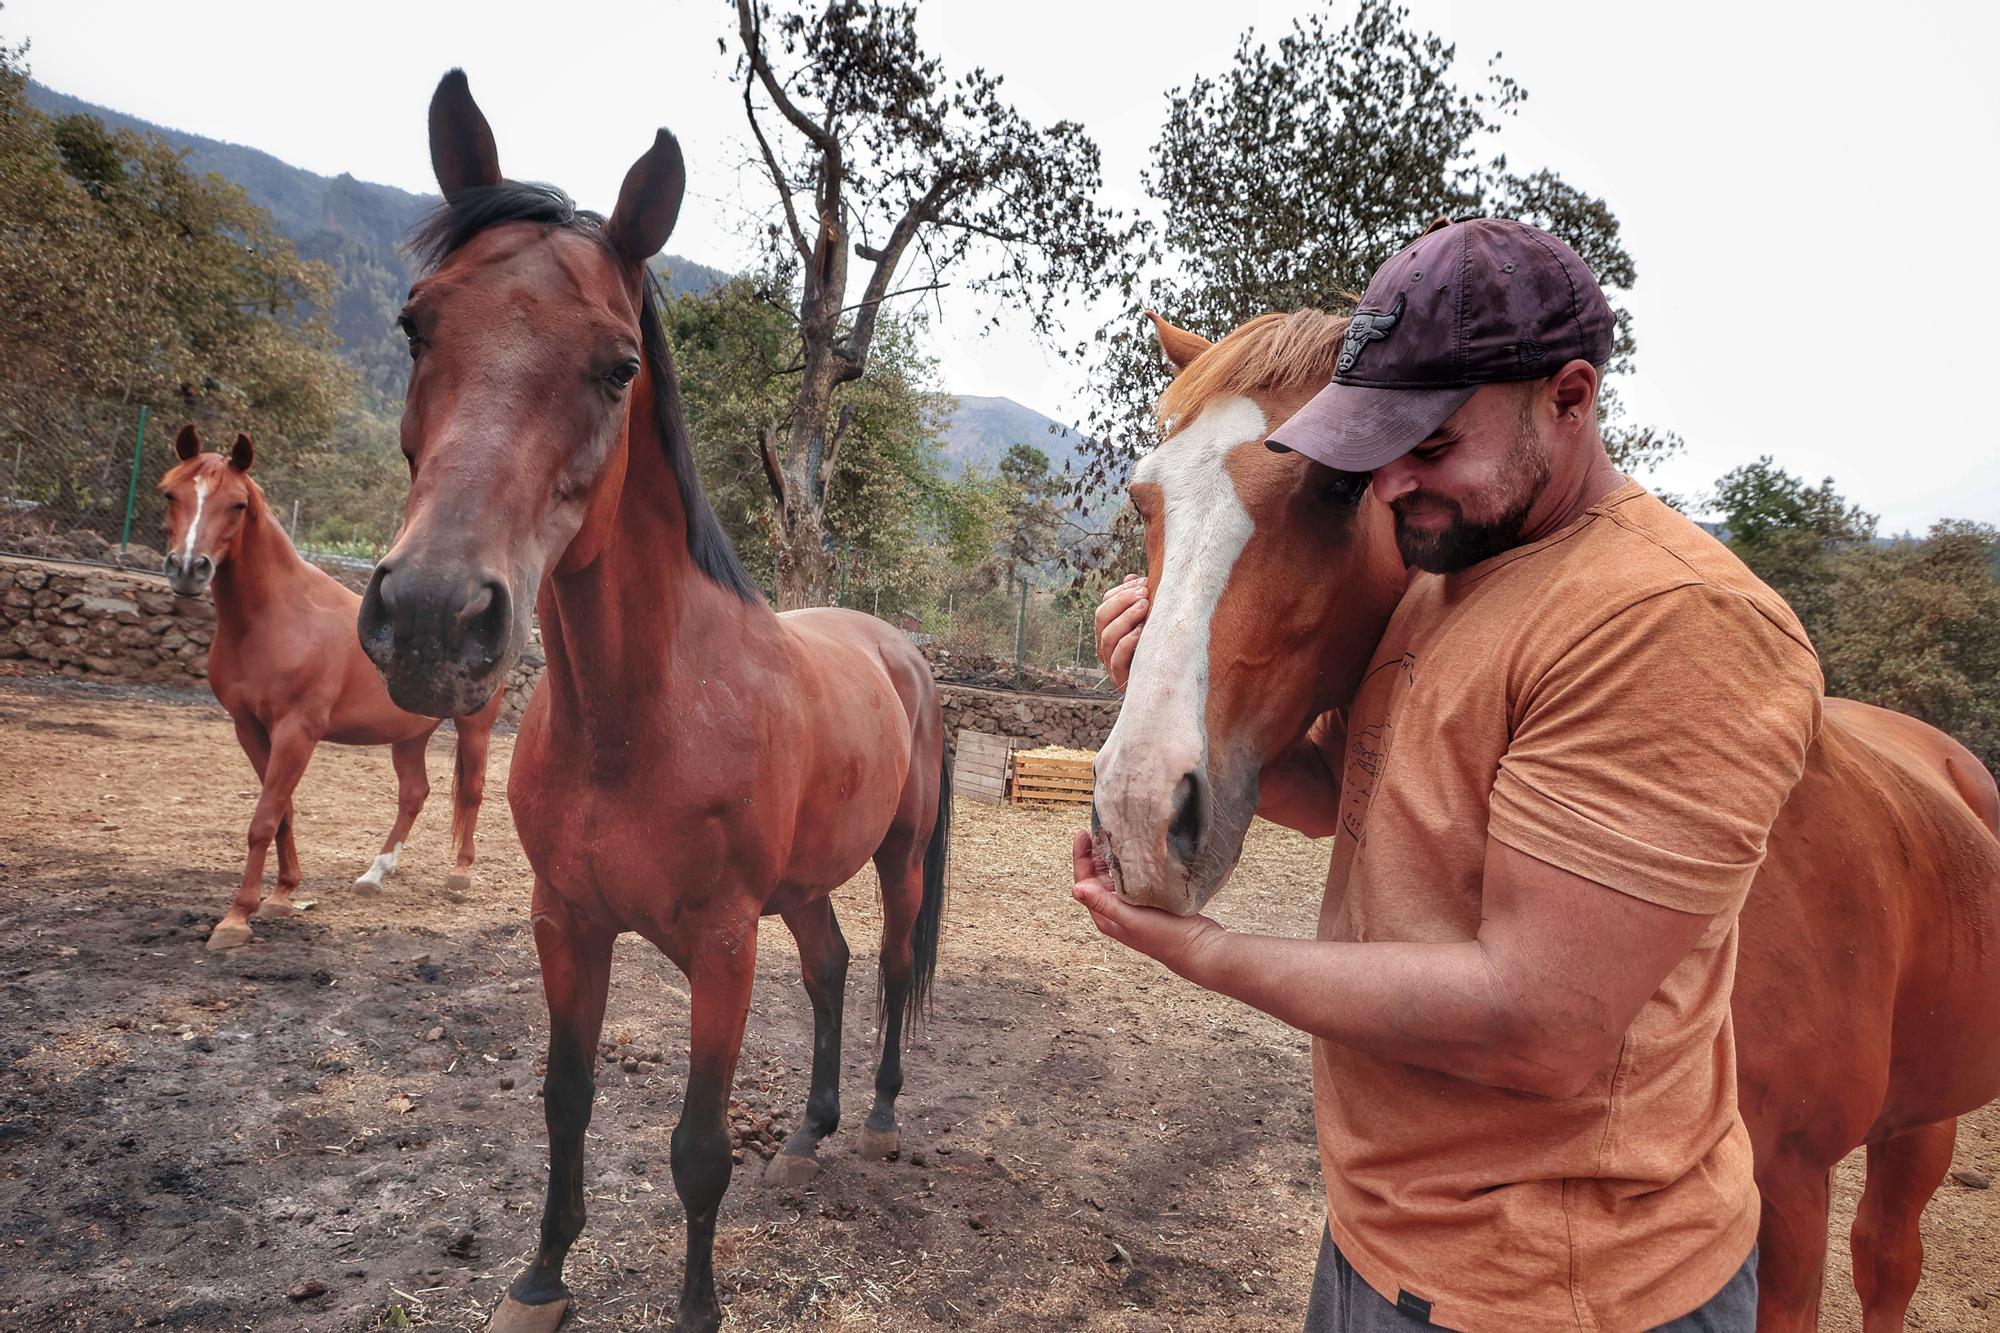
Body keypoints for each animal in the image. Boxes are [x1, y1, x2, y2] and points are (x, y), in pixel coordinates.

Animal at [156, 422, 500, 944]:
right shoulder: (249, 728)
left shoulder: (297, 732)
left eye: (237, 504)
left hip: (473, 727)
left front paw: (237, 917)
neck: (277, 618)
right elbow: (282, 812)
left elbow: (264, 818)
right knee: (414, 794)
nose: (188, 568)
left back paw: (459, 875)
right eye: (170, 493)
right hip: (409, 735)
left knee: (473, 790)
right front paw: (282, 894)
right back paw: (375, 874)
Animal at [354, 75, 952, 1328]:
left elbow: (697, 1148)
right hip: (800, 886)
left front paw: (695, 1306)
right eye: (416, 324)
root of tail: (898, 651)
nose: (433, 615)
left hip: (897, 857)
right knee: (829, 966)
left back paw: (874, 1118)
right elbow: (564, 1099)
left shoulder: (720, 948)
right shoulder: (566, 923)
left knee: (879, 968)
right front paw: (540, 1277)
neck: (642, 717)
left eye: (618, 364)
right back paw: (812, 1131)